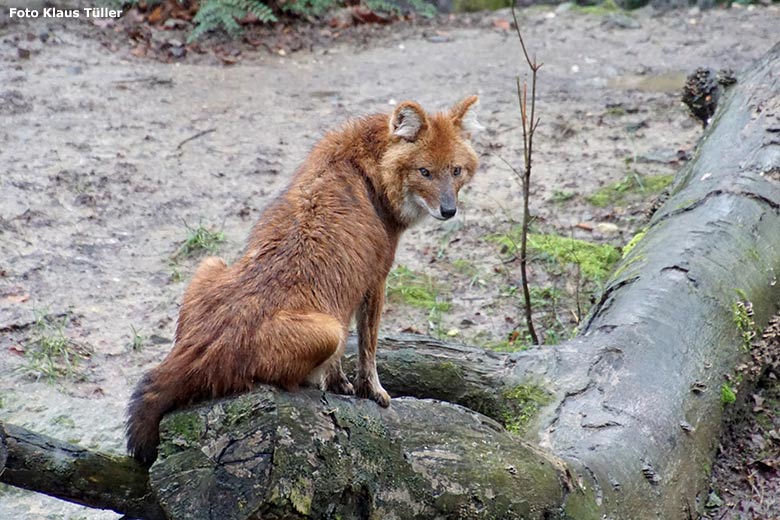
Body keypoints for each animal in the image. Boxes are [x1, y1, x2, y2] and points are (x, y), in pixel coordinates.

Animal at [126, 95, 482, 466]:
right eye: (424, 171)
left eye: (455, 170)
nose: (449, 210)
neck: (365, 163)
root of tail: (196, 350)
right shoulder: (375, 279)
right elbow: (367, 347)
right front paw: (372, 392)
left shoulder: (348, 288)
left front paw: (339, 385)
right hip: (325, 330)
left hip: (210, 264)